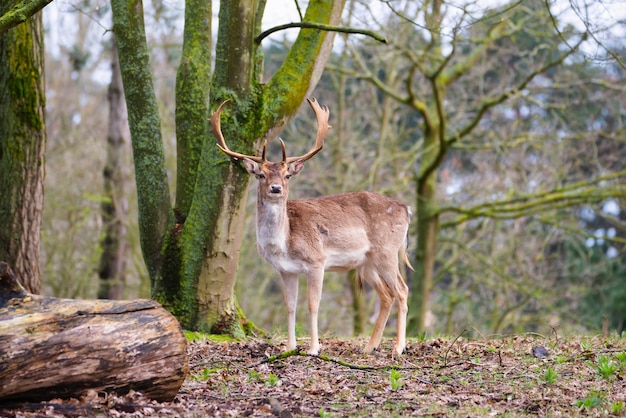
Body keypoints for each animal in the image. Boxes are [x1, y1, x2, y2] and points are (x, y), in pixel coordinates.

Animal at [210, 98, 412, 356]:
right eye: (261, 175)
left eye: (287, 175)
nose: (276, 188)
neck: (285, 243)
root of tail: (406, 209)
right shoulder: (286, 270)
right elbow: (290, 306)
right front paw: (289, 346)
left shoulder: (317, 261)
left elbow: (313, 304)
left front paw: (314, 348)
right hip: (367, 262)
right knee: (386, 295)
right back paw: (369, 347)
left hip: (387, 251)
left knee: (402, 290)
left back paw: (398, 348)